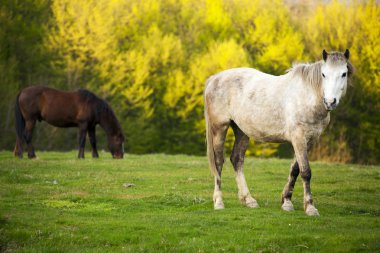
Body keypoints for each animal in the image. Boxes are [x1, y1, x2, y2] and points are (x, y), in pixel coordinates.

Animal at [205, 49, 354, 215]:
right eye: (324, 74)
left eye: (344, 74)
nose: (330, 102)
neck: (306, 97)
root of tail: (214, 79)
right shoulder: (298, 138)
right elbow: (305, 172)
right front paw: (310, 207)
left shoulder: (309, 140)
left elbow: (295, 169)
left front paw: (287, 201)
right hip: (220, 128)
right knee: (218, 162)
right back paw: (219, 202)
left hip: (241, 130)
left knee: (237, 159)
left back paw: (249, 200)